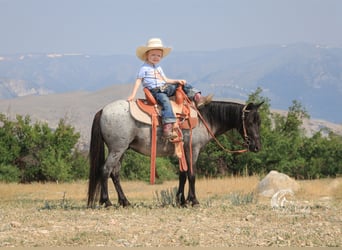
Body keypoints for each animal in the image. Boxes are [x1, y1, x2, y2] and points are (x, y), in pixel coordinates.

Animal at [87, 98, 264, 208]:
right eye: (249, 122)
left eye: (259, 122)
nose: (256, 147)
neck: (203, 119)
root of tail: (103, 111)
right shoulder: (193, 150)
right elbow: (191, 175)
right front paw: (193, 201)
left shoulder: (182, 152)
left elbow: (182, 175)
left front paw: (181, 200)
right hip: (117, 149)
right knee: (105, 170)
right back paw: (107, 202)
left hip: (121, 150)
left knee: (115, 173)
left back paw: (125, 202)